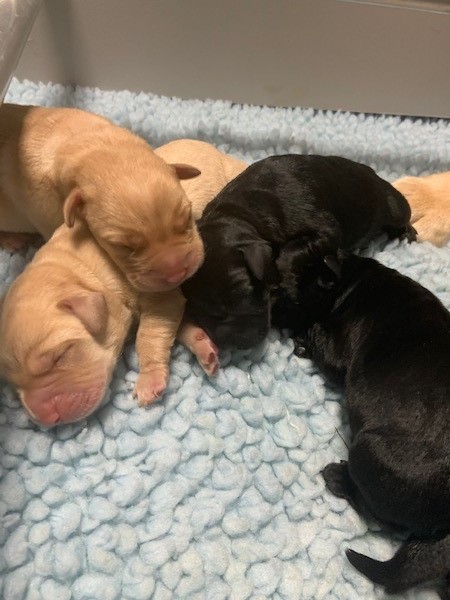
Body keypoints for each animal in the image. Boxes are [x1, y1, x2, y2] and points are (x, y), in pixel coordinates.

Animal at [179, 155, 414, 350]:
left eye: (240, 291)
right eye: (194, 306)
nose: (230, 343)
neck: (241, 212)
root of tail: (372, 171)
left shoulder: (325, 229)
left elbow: (290, 252)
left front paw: (287, 286)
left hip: (394, 206)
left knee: (402, 214)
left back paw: (406, 232)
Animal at [272, 254, 450, 600]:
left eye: (288, 294)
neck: (353, 278)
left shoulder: (336, 349)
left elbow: (318, 335)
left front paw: (303, 341)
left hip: (367, 451)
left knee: (378, 514)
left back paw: (339, 478)